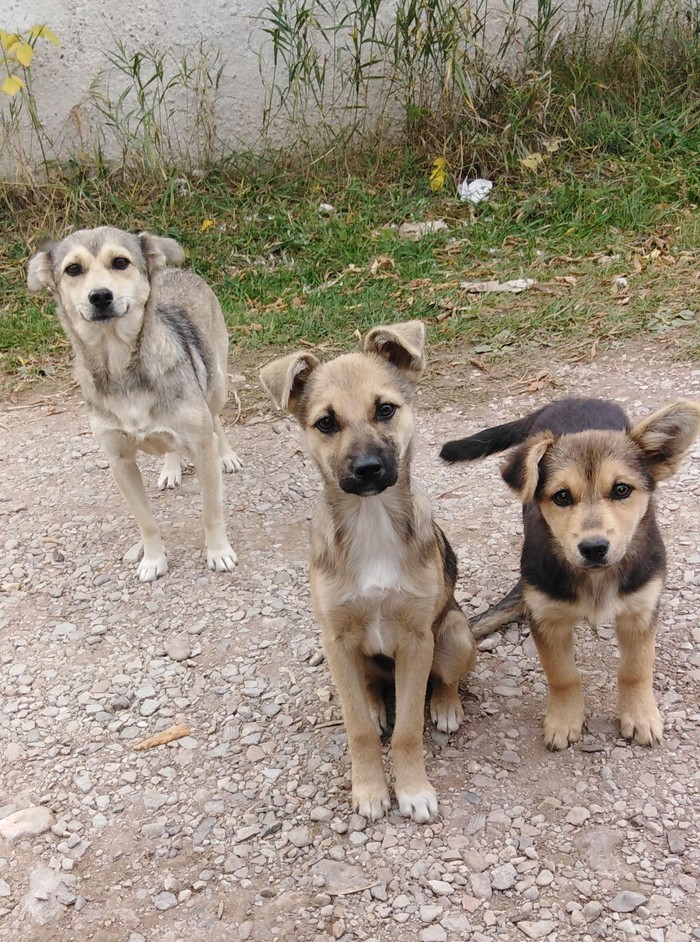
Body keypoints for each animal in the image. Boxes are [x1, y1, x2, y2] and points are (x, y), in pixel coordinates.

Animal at [27, 229, 242, 584]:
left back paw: (227, 455)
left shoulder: (200, 446)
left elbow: (211, 511)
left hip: (217, 385)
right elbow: (146, 521)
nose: (100, 296)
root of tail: (175, 270)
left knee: (216, 421)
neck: (121, 366)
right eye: (73, 269)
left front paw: (219, 552)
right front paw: (153, 560)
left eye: (120, 262)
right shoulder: (120, 463)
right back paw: (171, 469)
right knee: (172, 445)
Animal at [262, 320, 476, 824]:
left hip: (455, 631)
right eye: (326, 422)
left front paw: (413, 789)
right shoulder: (338, 640)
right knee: (370, 690)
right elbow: (357, 727)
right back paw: (379, 705)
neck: (372, 519)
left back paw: (446, 706)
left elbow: (408, 728)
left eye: (385, 409)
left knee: (446, 679)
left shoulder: (417, 639)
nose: (367, 469)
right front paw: (370, 789)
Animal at [442, 396, 700, 752]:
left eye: (621, 489)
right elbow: (562, 675)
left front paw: (640, 716)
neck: (595, 577)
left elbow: (636, 669)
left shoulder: (640, 611)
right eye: (561, 496)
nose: (593, 548)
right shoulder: (546, 617)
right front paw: (564, 720)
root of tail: (572, 398)